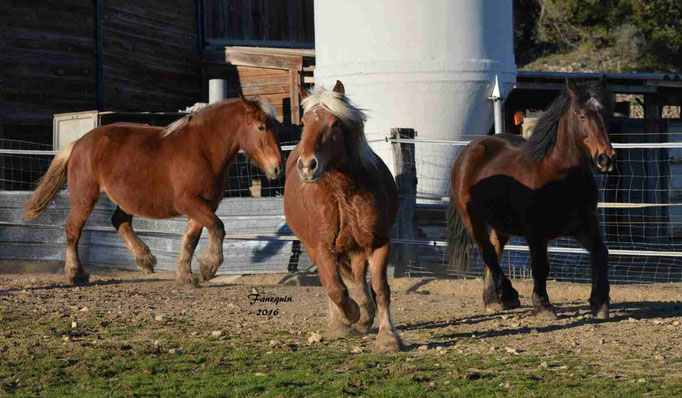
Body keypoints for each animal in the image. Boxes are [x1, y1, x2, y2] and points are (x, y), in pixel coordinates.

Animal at [25, 98, 282, 288]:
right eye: (261, 127)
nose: (277, 168)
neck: (203, 149)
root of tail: (78, 143)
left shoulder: (204, 205)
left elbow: (191, 239)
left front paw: (185, 276)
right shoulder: (189, 202)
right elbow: (218, 227)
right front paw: (208, 268)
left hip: (125, 198)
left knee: (119, 221)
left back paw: (145, 260)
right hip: (85, 197)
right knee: (73, 230)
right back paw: (76, 274)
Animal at [282, 80, 402, 352]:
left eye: (335, 123)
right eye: (304, 122)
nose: (307, 166)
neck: (343, 193)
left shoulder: (378, 243)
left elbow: (380, 289)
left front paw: (388, 337)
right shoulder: (323, 248)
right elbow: (336, 289)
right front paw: (348, 317)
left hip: (356, 248)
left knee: (357, 278)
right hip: (314, 248)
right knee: (333, 284)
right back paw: (343, 320)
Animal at [446, 77, 616, 320]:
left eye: (606, 113)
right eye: (581, 114)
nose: (605, 158)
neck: (558, 173)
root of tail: (468, 151)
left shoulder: (584, 224)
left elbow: (600, 253)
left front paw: (600, 303)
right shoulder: (536, 232)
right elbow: (540, 266)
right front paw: (543, 306)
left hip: (502, 224)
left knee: (494, 250)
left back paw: (493, 299)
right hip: (473, 219)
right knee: (487, 252)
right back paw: (508, 294)